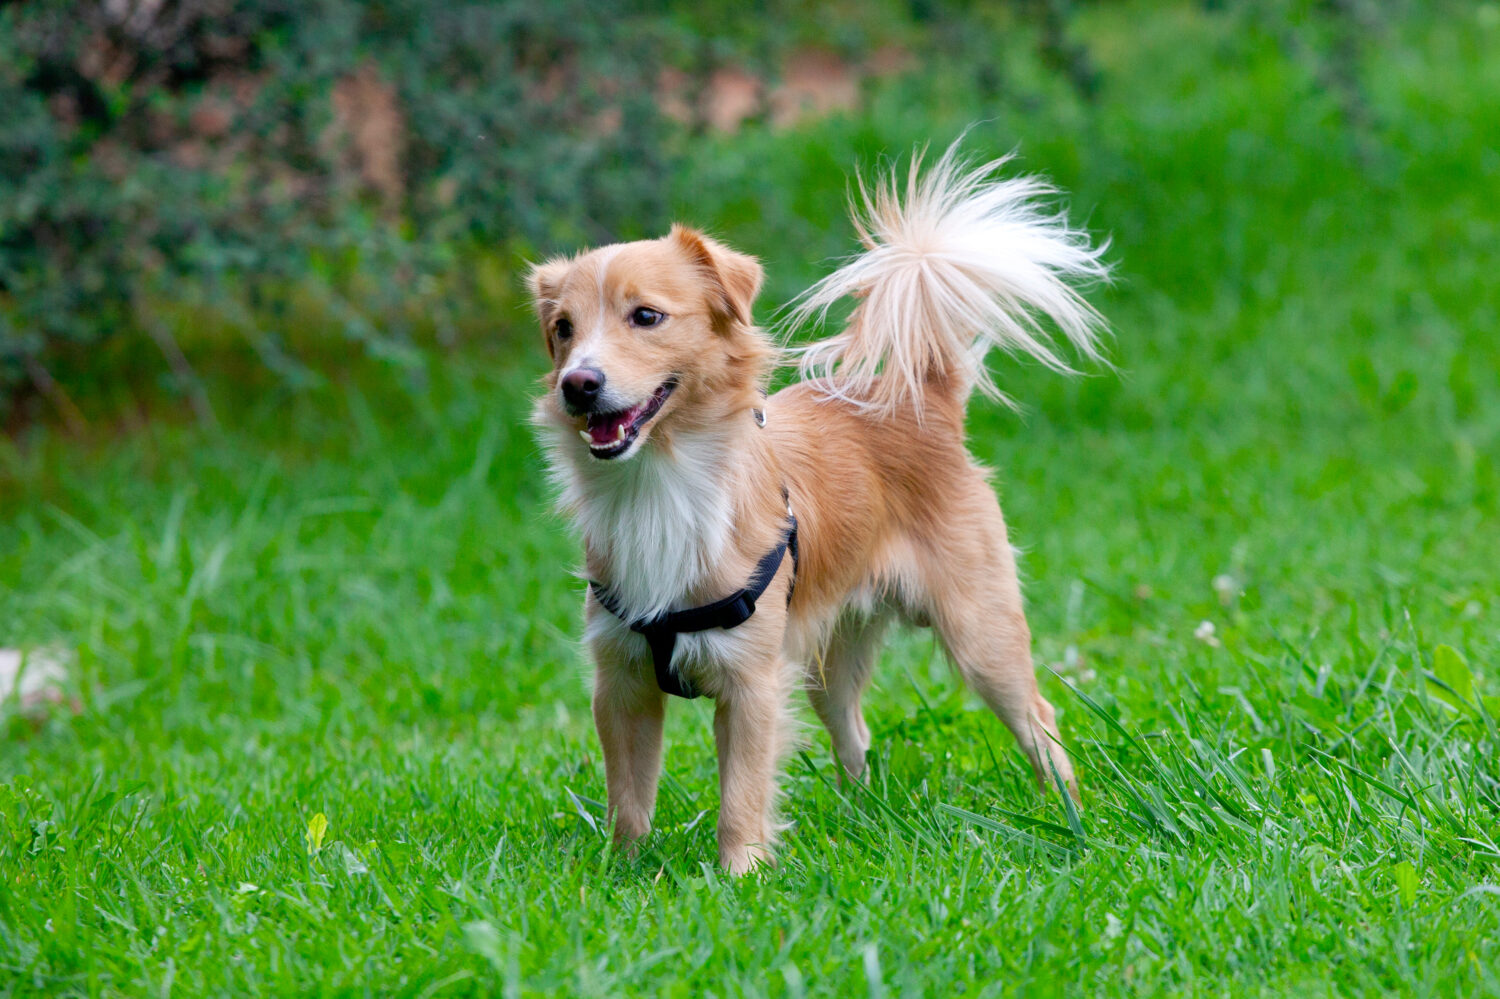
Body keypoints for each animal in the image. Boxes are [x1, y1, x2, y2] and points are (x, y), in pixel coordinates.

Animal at [534, 141, 1110, 870]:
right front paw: (623, 870)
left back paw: (1067, 813)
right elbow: (629, 797)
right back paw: (859, 817)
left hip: (980, 634)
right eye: (563, 330)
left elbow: (741, 794)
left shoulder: (751, 684)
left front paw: (739, 873)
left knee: (1039, 719)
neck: (663, 481)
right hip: (828, 658)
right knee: (854, 731)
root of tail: (921, 401)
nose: (578, 384)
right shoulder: (622, 680)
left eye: (646, 317)